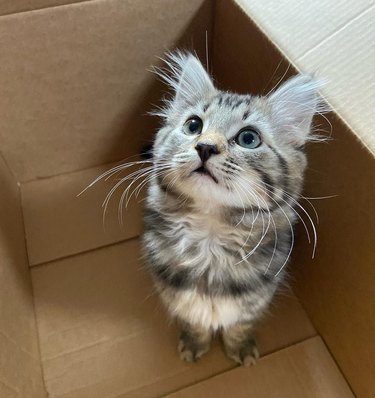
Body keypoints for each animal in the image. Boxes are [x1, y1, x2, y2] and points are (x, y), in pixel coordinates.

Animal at [142, 51, 324, 366]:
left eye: (248, 138)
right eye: (193, 126)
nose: (205, 147)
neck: (210, 238)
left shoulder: (255, 302)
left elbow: (239, 326)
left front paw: (241, 349)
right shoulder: (177, 297)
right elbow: (195, 323)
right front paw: (194, 344)